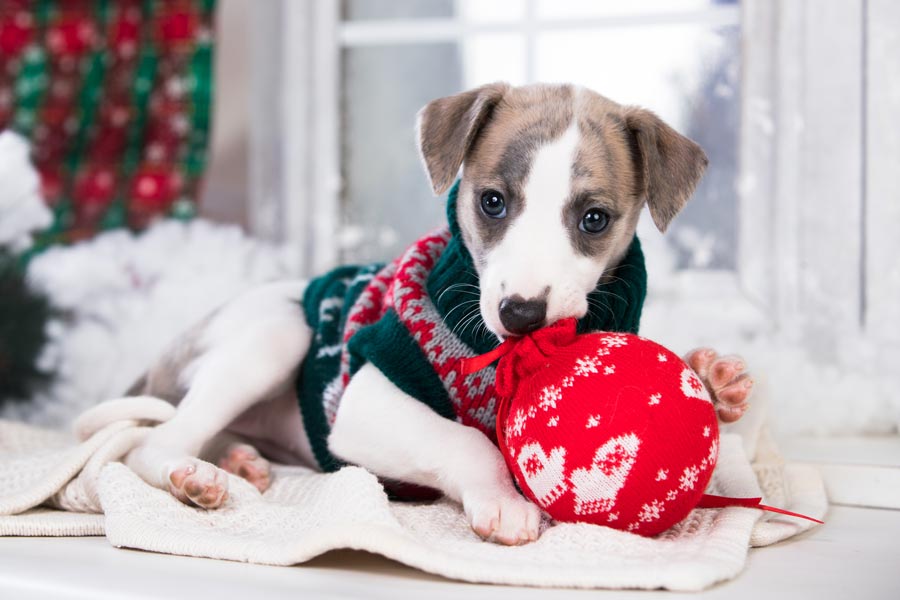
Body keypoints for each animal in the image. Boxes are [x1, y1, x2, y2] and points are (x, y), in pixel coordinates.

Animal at [121, 82, 752, 548]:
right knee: (150, 443)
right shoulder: (366, 399)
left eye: (594, 219)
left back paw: (241, 461)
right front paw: (502, 500)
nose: (521, 314)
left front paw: (714, 379)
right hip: (278, 334)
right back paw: (196, 476)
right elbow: (465, 441)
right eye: (492, 201)